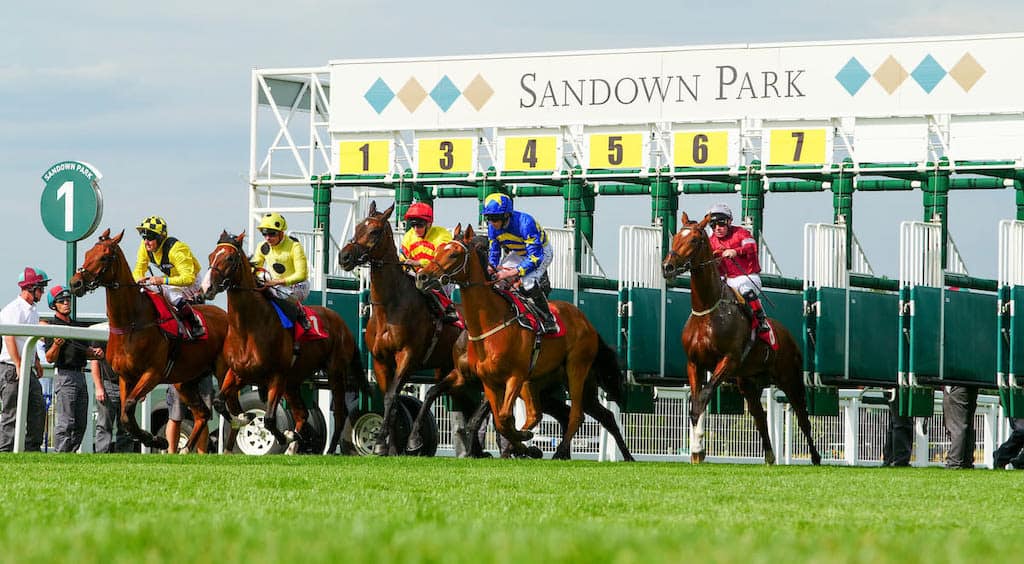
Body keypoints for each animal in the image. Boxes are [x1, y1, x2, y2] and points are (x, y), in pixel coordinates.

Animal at [68, 227, 230, 452]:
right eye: (87, 254)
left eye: (104, 257)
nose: (75, 283)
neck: (132, 323)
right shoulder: (125, 377)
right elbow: (126, 416)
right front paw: (156, 440)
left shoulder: (153, 373)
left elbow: (128, 407)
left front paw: (155, 440)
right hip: (186, 381)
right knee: (203, 414)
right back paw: (184, 448)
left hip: (224, 372)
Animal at [202, 231, 360, 456]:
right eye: (211, 256)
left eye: (230, 258)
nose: (207, 287)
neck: (248, 328)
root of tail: (341, 322)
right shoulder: (238, 372)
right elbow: (218, 401)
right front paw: (244, 417)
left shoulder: (276, 376)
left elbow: (268, 419)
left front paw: (284, 436)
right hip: (293, 381)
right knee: (302, 413)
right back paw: (293, 446)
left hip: (335, 373)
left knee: (339, 413)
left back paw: (327, 450)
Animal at [335, 200, 471, 456]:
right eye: (358, 227)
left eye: (374, 231)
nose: (344, 256)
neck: (390, 306)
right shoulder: (380, 360)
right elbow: (394, 400)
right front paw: (390, 447)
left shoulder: (407, 356)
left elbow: (390, 397)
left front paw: (382, 441)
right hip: (447, 366)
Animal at [413, 223, 630, 460]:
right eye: (437, 250)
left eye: (453, 254)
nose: (423, 277)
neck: (490, 324)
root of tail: (587, 323)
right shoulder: (483, 379)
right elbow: (499, 420)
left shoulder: (515, 377)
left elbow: (502, 417)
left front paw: (517, 445)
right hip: (557, 382)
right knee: (594, 415)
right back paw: (624, 456)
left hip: (576, 370)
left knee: (575, 415)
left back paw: (558, 452)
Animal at [663, 213, 823, 464]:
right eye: (677, 236)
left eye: (695, 240)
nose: (667, 267)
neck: (708, 310)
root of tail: (788, 335)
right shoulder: (694, 363)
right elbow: (695, 402)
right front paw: (696, 450)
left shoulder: (729, 360)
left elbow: (704, 396)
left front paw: (698, 448)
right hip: (749, 382)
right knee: (759, 416)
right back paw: (769, 456)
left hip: (790, 378)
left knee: (802, 416)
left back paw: (815, 457)